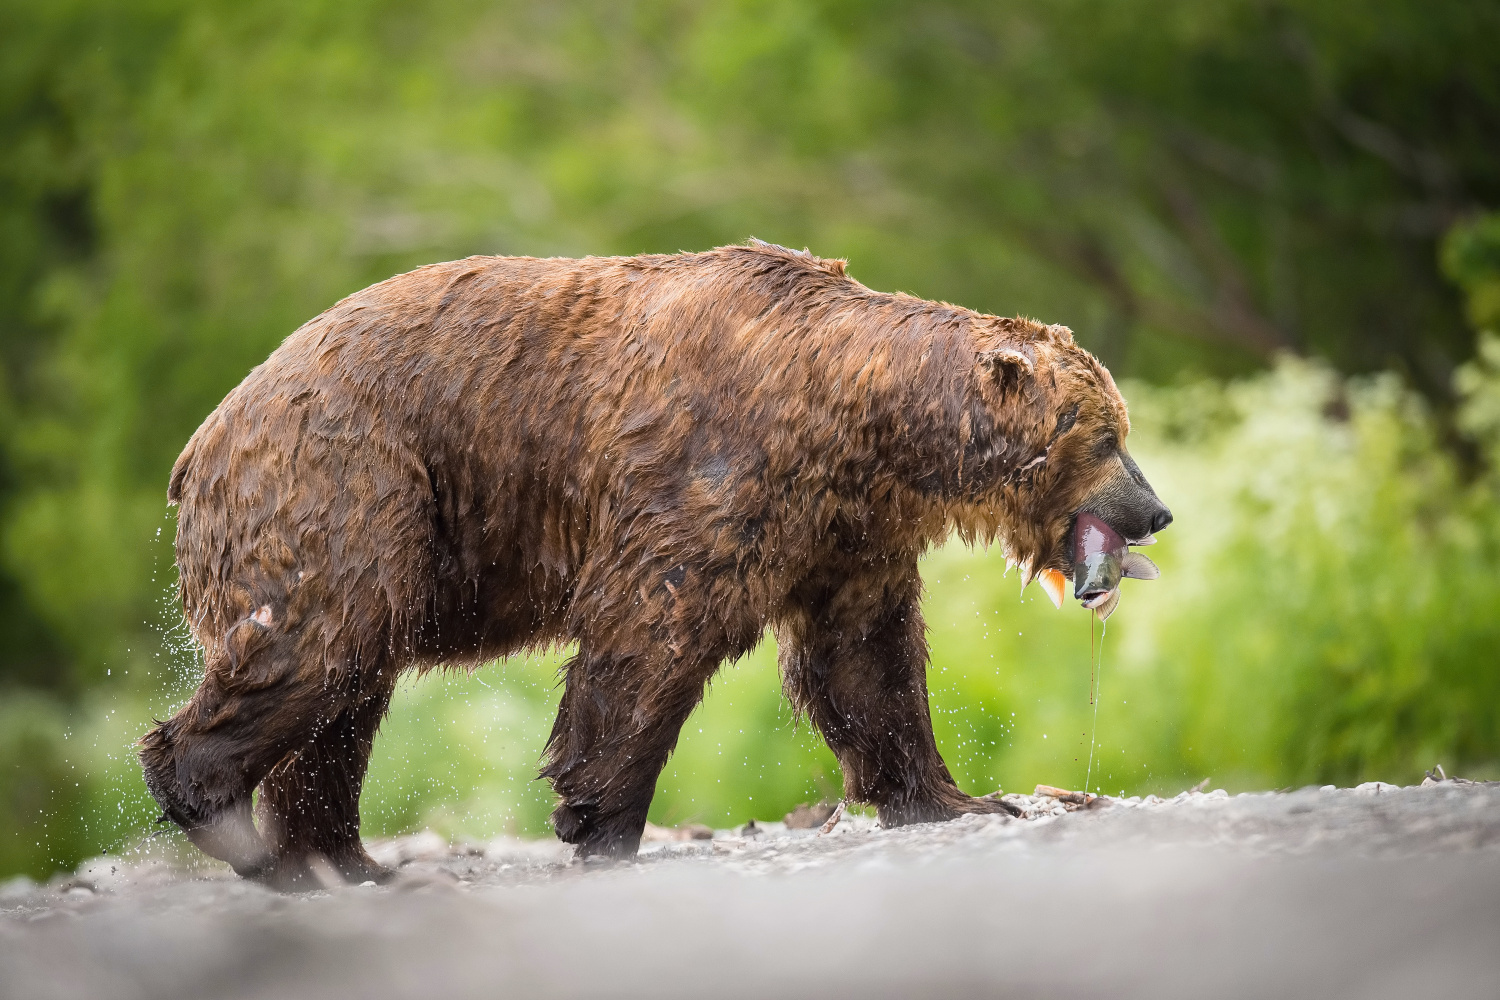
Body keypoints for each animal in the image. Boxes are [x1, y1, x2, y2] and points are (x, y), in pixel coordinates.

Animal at [138, 239, 1170, 881]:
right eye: (1108, 435)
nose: (1157, 511)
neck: (855, 426)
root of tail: (202, 438)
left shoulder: (844, 533)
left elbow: (866, 662)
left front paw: (962, 799)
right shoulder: (712, 469)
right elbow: (654, 626)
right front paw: (600, 815)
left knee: (347, 693)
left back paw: (341, 861)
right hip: (350, 483)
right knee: (318, 645)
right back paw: (232, 823)